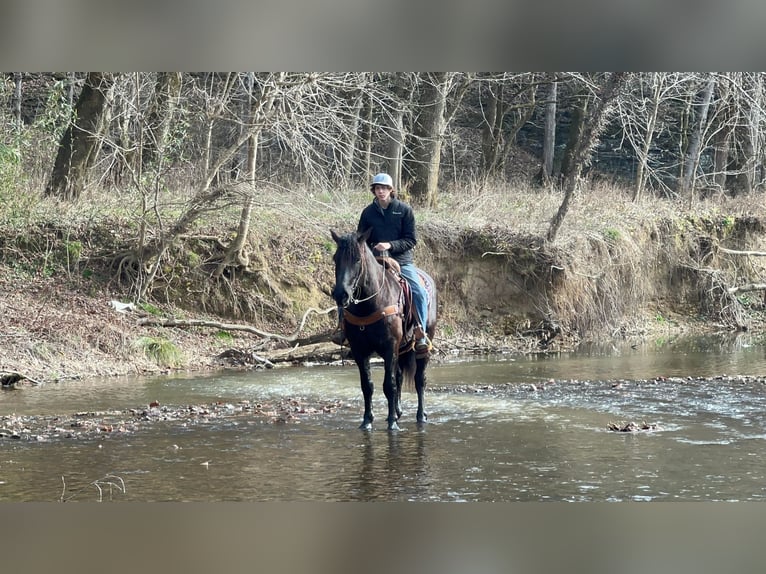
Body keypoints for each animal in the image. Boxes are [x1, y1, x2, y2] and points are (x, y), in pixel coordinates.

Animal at [330, 230, 438, 432]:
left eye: (357, 259)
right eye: (335, 258)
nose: (341, 294)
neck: (370, 304)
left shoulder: (389, 347)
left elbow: (389, 385)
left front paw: (392, 424)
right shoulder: (360, 351)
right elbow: (368, 386)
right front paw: (367, 421)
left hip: (423, 344)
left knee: (420, 379)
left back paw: (421, 415)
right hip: (402, 348)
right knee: (400, 375)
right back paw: (398, 411)